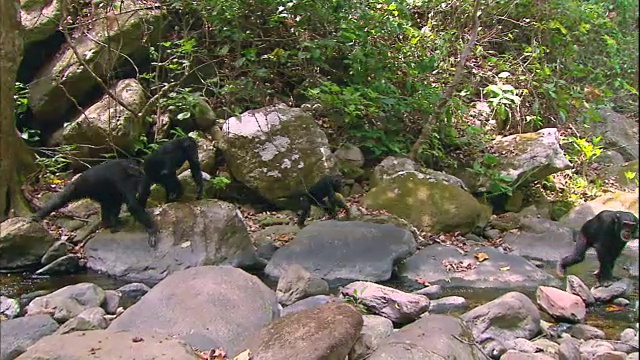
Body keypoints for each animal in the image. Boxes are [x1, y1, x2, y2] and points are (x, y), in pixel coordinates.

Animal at [30, 160, 161, 248]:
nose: (143, 194)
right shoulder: (124, 182)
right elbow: (132, 205)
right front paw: (152, 229)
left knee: (110, 203)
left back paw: (110, 223)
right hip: (79, 187)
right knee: (62, 197)